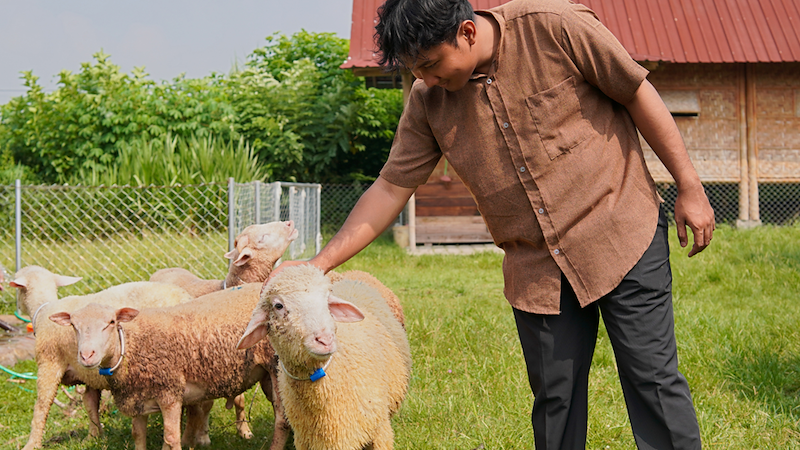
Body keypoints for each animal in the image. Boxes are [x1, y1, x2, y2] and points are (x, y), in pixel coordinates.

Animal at [9, 266, 214, 450]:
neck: (43, 309)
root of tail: (186, 297)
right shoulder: (89, 371)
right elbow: (90, 403)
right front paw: (94, 436)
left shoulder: (49, 362)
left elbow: (42, 405)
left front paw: (32, 444)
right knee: (202, 402)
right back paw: (200, 437)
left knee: (197, 406)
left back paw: (193, 438)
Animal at [50, 283, 290, 450]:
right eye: (73, 326)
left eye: (110, 323)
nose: (86, 355)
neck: (133, 345)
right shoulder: (138, 398)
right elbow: (138, 436)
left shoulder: (170, 393)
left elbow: (172, 438)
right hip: (265, 374)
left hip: (276, 366)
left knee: (282, 420)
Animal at [238, 265, 411, 450]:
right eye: (278, 305)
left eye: (327, 299)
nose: (325, 340)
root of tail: (354, 275)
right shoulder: (305, 440)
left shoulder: (380, 431)